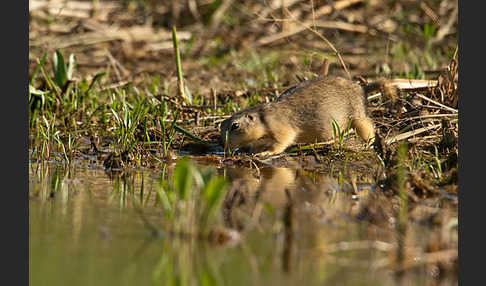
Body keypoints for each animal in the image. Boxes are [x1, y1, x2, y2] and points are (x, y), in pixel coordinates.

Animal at [220, 75, 398, 156]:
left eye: (235, 126)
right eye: (221, 125)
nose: (223, 146)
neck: (262, 117)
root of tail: (362, 88)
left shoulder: (280, 127)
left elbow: (282, 141)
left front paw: (265, 153)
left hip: (358, 117)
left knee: (368, 127)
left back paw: (367, 144)